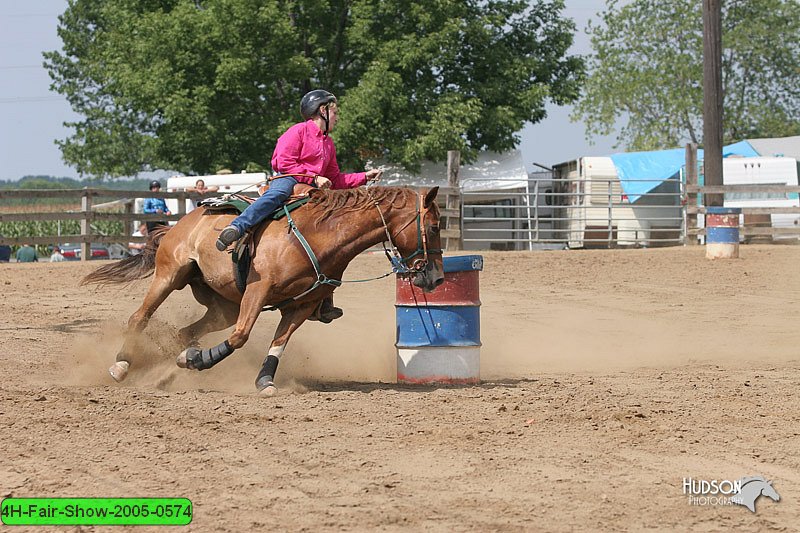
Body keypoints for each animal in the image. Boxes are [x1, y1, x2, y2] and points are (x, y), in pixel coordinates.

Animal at [84, 185, 446, 392]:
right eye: (433, 226)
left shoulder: (300, 305)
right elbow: (240, 337)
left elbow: (278, 344)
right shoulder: (257, 292)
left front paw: (263, 380)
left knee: (185, 333)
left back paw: (165, 372)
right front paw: (198, 362)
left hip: (224, 306)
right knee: (139, 318)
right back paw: (121, 365)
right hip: (169, 275)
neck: (318, 236)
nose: (438, 278)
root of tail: (182, 221)